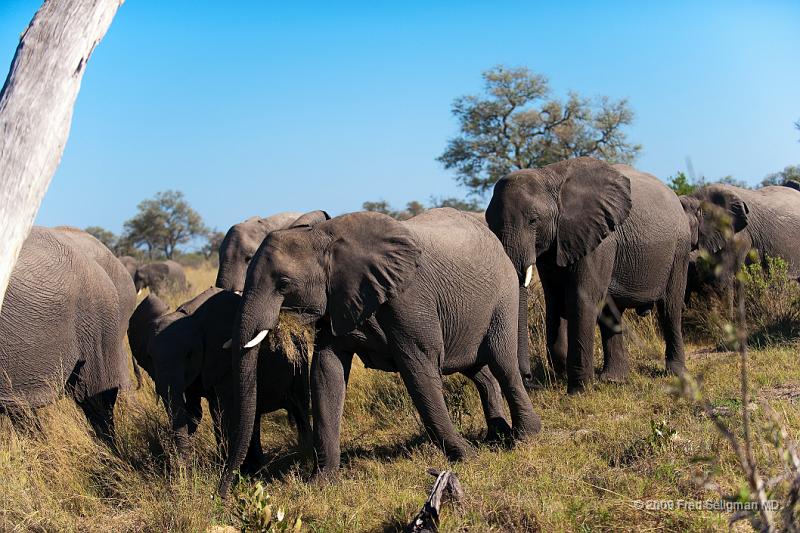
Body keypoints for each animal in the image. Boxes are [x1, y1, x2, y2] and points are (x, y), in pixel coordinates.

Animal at [126, 284, 310, 468]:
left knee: (299, 409)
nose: (179, 468)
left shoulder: (224, 361)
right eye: (149, 357)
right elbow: (193, 412)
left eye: (189, 355)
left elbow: (224, 410)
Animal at [219, 208, 540, 494]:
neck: (324, 237)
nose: (223, 492)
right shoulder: (337, 301)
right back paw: (497, 435)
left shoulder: (409, 300)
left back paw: (525, 437)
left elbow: (419, 371)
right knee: (479, 372)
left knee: (502, 363)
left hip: (504, 295)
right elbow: (326, 373)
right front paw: (321, 483)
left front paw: (467, 456)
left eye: (284, 284)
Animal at [484, 156, 696, 392]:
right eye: (488, 223)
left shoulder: (599, 240)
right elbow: (555, 301)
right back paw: (614, 379)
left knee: (670, 308)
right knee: (611, 314)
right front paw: (563, 371)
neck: (549, 176)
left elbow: (581, 298)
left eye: (533, 220)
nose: (528, 377)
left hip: (680, 249)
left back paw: (675, 373)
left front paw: (578, 391)